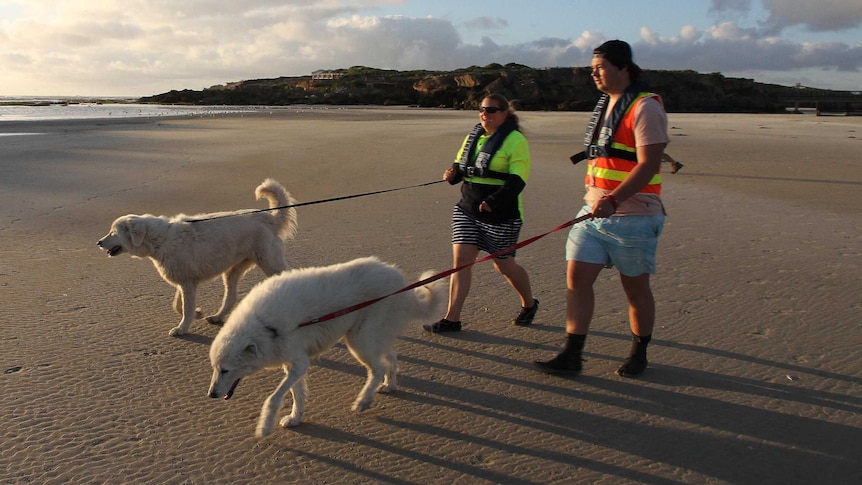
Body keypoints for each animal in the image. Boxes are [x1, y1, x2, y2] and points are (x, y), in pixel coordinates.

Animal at [97, 179, 298, 336]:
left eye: (112, 233)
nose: (98, 242)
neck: (161, 239)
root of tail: (270, 218)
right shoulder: (185, 280)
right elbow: (178, 305)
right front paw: (198, 313)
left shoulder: (187, 282)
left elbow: (185, 308)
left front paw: (181, 329)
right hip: (233, 270)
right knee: (231, 297)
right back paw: (217, 317)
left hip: (270, 262)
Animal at [208, 258, 446, 438]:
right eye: (215, 368)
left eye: (225, 370)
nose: (211, 395)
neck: (266, 326)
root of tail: (401, 282)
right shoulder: (294, 363)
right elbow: (297, 393)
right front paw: (295, 418)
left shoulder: (299, 363)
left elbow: (274, 397)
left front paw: (265, 426)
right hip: (370, 337)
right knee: (391, 356)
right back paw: (390, 385)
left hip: (360, 340)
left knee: (378, 368)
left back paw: (363, 401)